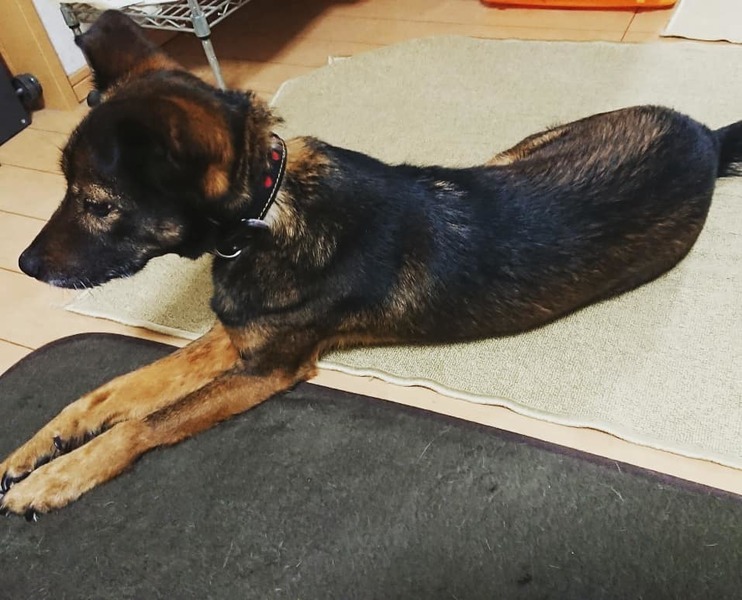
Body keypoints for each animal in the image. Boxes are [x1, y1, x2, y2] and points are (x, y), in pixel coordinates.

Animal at [1, 10, 740, 519]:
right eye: (68, 188)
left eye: (98, 203)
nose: (25, 264)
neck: (267, 210)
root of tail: (706, 137)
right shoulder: (231, 336)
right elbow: (108, 393)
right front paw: (38, 449)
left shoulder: (267, 370)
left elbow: (140, 422)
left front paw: (57, 478)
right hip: (518, 151)